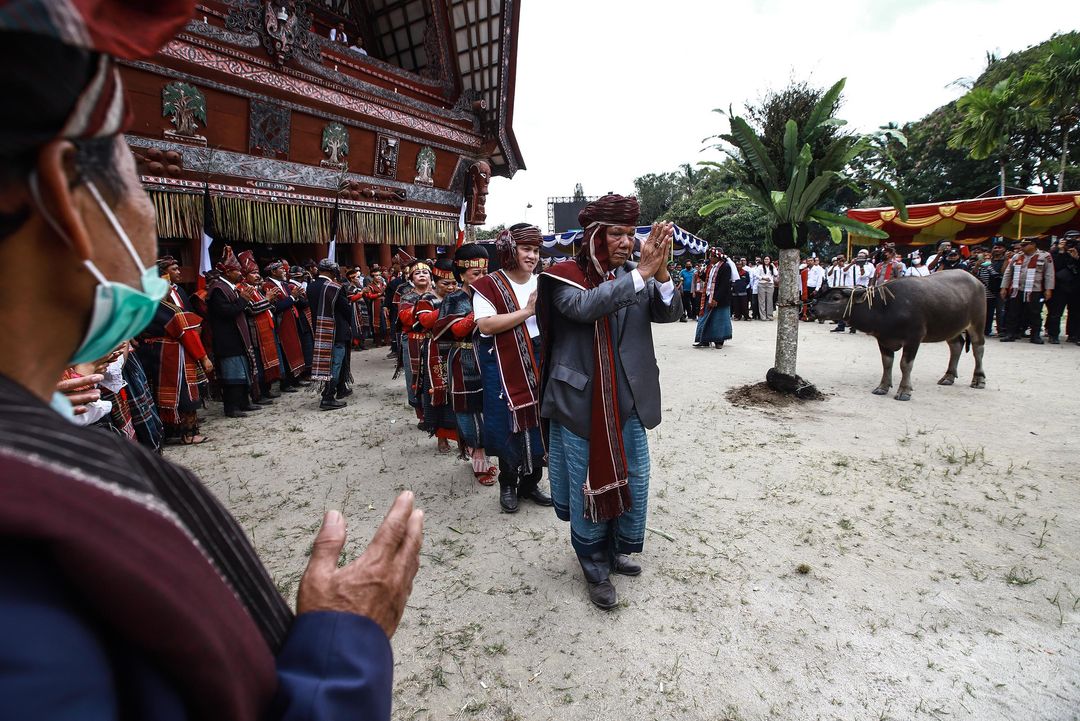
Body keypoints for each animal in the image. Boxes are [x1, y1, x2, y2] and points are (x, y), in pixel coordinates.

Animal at [812, 268, 989, 399]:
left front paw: (904, 390)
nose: (813, 309)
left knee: (978, 349)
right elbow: (887, 362)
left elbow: (905, 364)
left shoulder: (914, 338)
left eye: (835, 297)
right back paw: (948, 377)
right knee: (957, 346)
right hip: (951, 327)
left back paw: (979, 379)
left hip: (977, 323)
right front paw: (882, 387)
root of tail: (977, 282)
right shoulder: (883, 339)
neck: (884, 307)